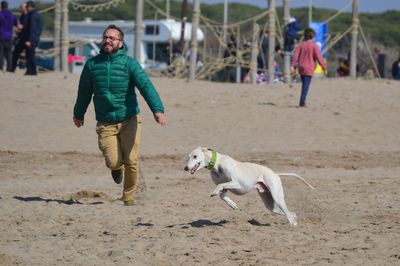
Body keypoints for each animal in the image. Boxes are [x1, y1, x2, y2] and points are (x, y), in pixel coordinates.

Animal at [184, 147, 316, 225]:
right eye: (188, 157)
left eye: (195, 156)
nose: (185, 168)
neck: (217, 164)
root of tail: (274, 173)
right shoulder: (227, 188)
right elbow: (222, 194)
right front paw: (232, 205)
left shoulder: (237, 183)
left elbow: (220, 186)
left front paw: (215, 192)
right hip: (270, 204)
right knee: (290, 213)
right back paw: (294, 220)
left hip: (277, 197)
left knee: (288, 213)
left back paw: (292, 225)